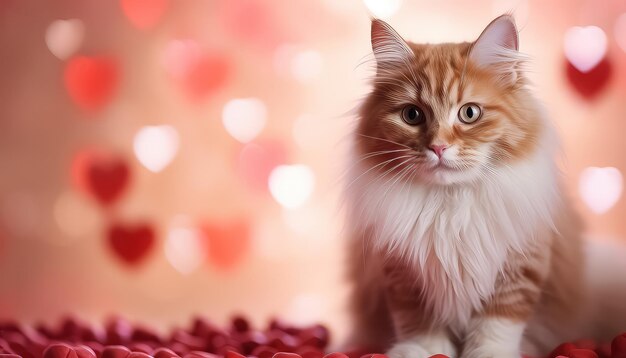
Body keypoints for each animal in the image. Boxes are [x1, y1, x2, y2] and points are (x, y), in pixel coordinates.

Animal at [338, 14, 588, 358]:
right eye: (412, 115)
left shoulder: (520, 266)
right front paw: (423, 350)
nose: (438, 147)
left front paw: (489, 353)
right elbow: (419, 321)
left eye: (469, 113)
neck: (450, 205)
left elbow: (498, 323)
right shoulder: (405, 274)